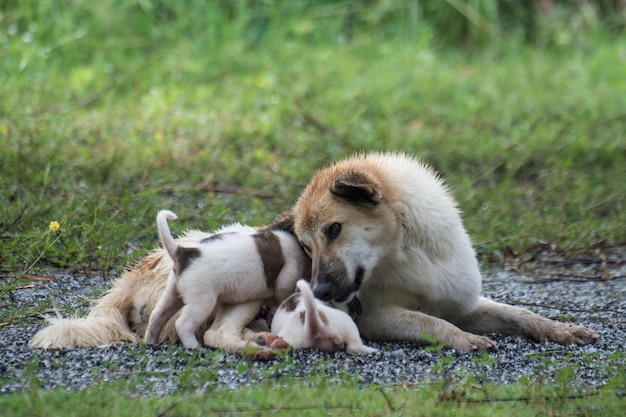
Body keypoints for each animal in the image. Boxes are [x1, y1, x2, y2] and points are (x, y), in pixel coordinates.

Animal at [270, 151, 596, 350]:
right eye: (307, 247)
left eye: (334, 229)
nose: (319, 292)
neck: (408, 253)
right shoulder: (376, 317)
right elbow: (430, 321)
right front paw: (464, 339)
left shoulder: (464, 305)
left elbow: (519, 313)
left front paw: (561, 329)